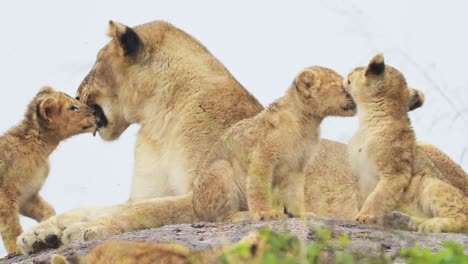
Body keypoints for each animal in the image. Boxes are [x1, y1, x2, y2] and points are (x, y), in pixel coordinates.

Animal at [16, 20, 466, 254]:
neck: (157, 124)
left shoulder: (206, 194)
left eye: (95, 62)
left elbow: (143, 214)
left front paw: (85, 233)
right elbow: (95, 206)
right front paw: (41, 233)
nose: (77, 96)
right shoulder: (146, 190)